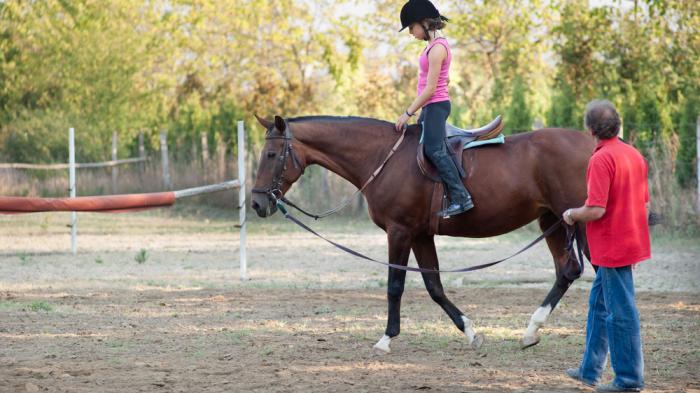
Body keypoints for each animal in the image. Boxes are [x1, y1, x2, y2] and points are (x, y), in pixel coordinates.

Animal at [249, 113, 592, 352]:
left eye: (271, 155)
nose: (256, 203)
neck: (383, 158)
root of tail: (591, 146)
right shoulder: (421, 235)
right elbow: (434, 286)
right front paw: (471, 332)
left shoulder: (399, 232)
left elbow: (395, 286)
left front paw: (386, 339)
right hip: (551, 220)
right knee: (568, 270)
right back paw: (531, 331)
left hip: (581, 222)